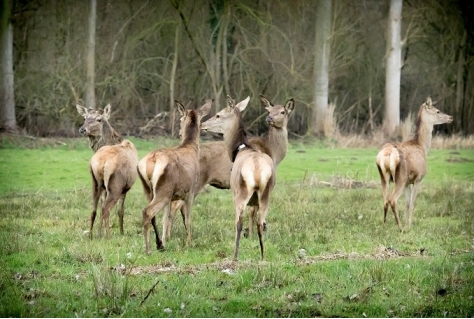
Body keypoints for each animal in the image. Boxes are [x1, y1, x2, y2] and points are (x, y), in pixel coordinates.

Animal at [76, 104, 139, 239]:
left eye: (99, 119)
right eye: (84, 118)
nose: (82, 129)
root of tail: (102, 163)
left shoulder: (103, 188)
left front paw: (100, 233)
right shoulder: (124, 188)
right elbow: (121, 211)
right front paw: (121, 232)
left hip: (95, 182)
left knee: (94, 209)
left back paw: (91, 236)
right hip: (116, 185)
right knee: (106, 208)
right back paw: (109, 237)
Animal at [201, 99, 276, 262]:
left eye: (218, 115)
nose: (202, 124)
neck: (239, 149)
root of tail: (257, 171)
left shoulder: (233, 193)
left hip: (241, 193)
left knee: (239, 223)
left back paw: (234, 256)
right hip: (266, 195)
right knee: (260, 223)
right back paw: (263, 257)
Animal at [376, 96, 454, 231]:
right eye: (437, 111)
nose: (450, 117)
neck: (422, 146)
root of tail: (388, 153)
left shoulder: (408, 183)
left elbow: (407, 204)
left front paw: (408, 223)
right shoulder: (418, 178)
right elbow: (412, 203)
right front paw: (409, 226)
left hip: (384, 177)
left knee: (385, 200)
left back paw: (384, 225)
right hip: (400, 177)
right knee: (392, 200)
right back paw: (400, 228)